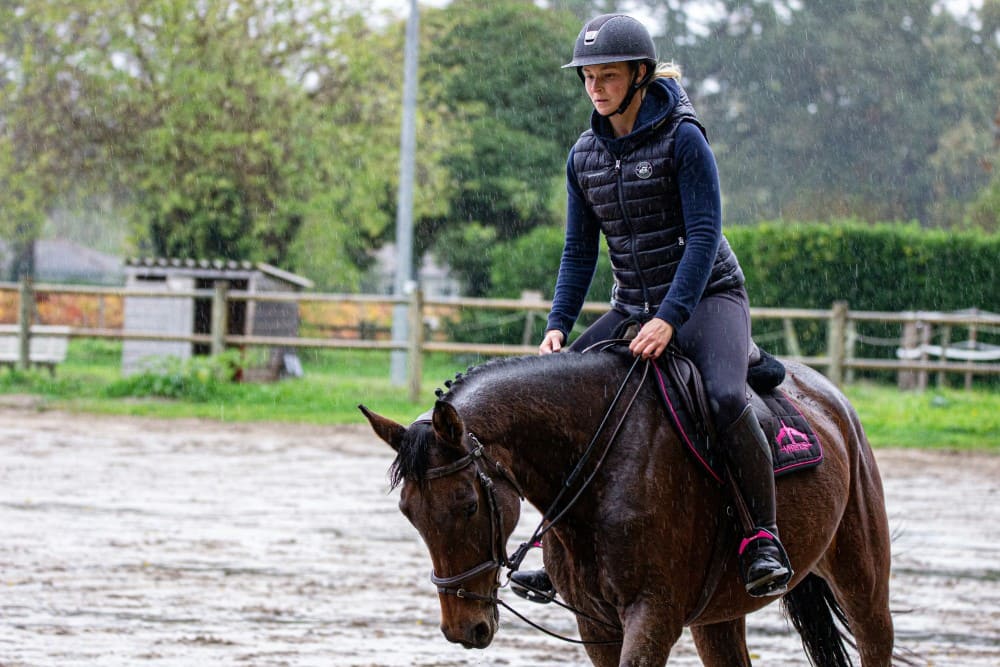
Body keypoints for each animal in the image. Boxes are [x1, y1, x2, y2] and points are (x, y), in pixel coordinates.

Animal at [360, 347, 895, 666]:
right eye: (409, 513)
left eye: (469, 505)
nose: (463, 628)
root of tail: (829, 397)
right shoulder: (595, 623)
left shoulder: (652, 615)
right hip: (718, 616)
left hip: (861, 580)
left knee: (874, 638)